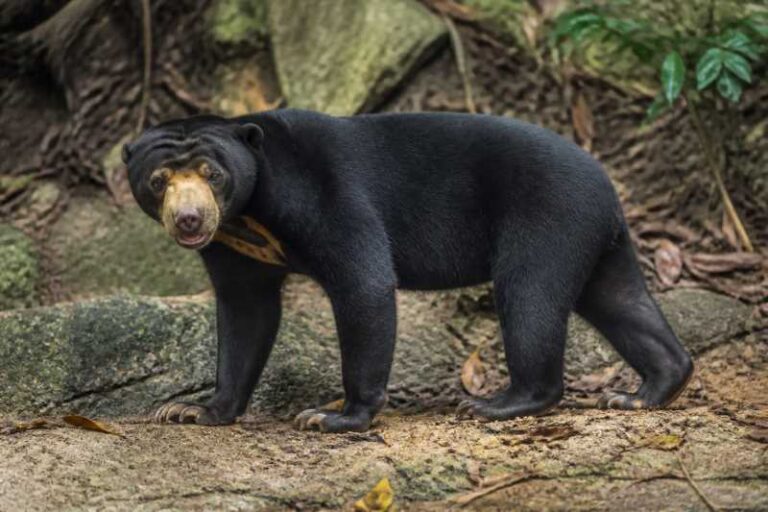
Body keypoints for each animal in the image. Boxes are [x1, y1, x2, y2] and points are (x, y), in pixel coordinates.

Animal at [122, 109, 693, 433]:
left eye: (213, 174)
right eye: (159, 180)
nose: (191, 219)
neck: (249, 214)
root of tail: (607, 186)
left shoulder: (318, 193)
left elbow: (363, 281)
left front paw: (334, 416)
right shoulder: (233, 245)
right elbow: (245, 312)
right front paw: (194, 410)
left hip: (549, 215)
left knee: (529, 297)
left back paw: (497, 405)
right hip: (592, 237)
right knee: (619, 299)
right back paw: (647, 389)